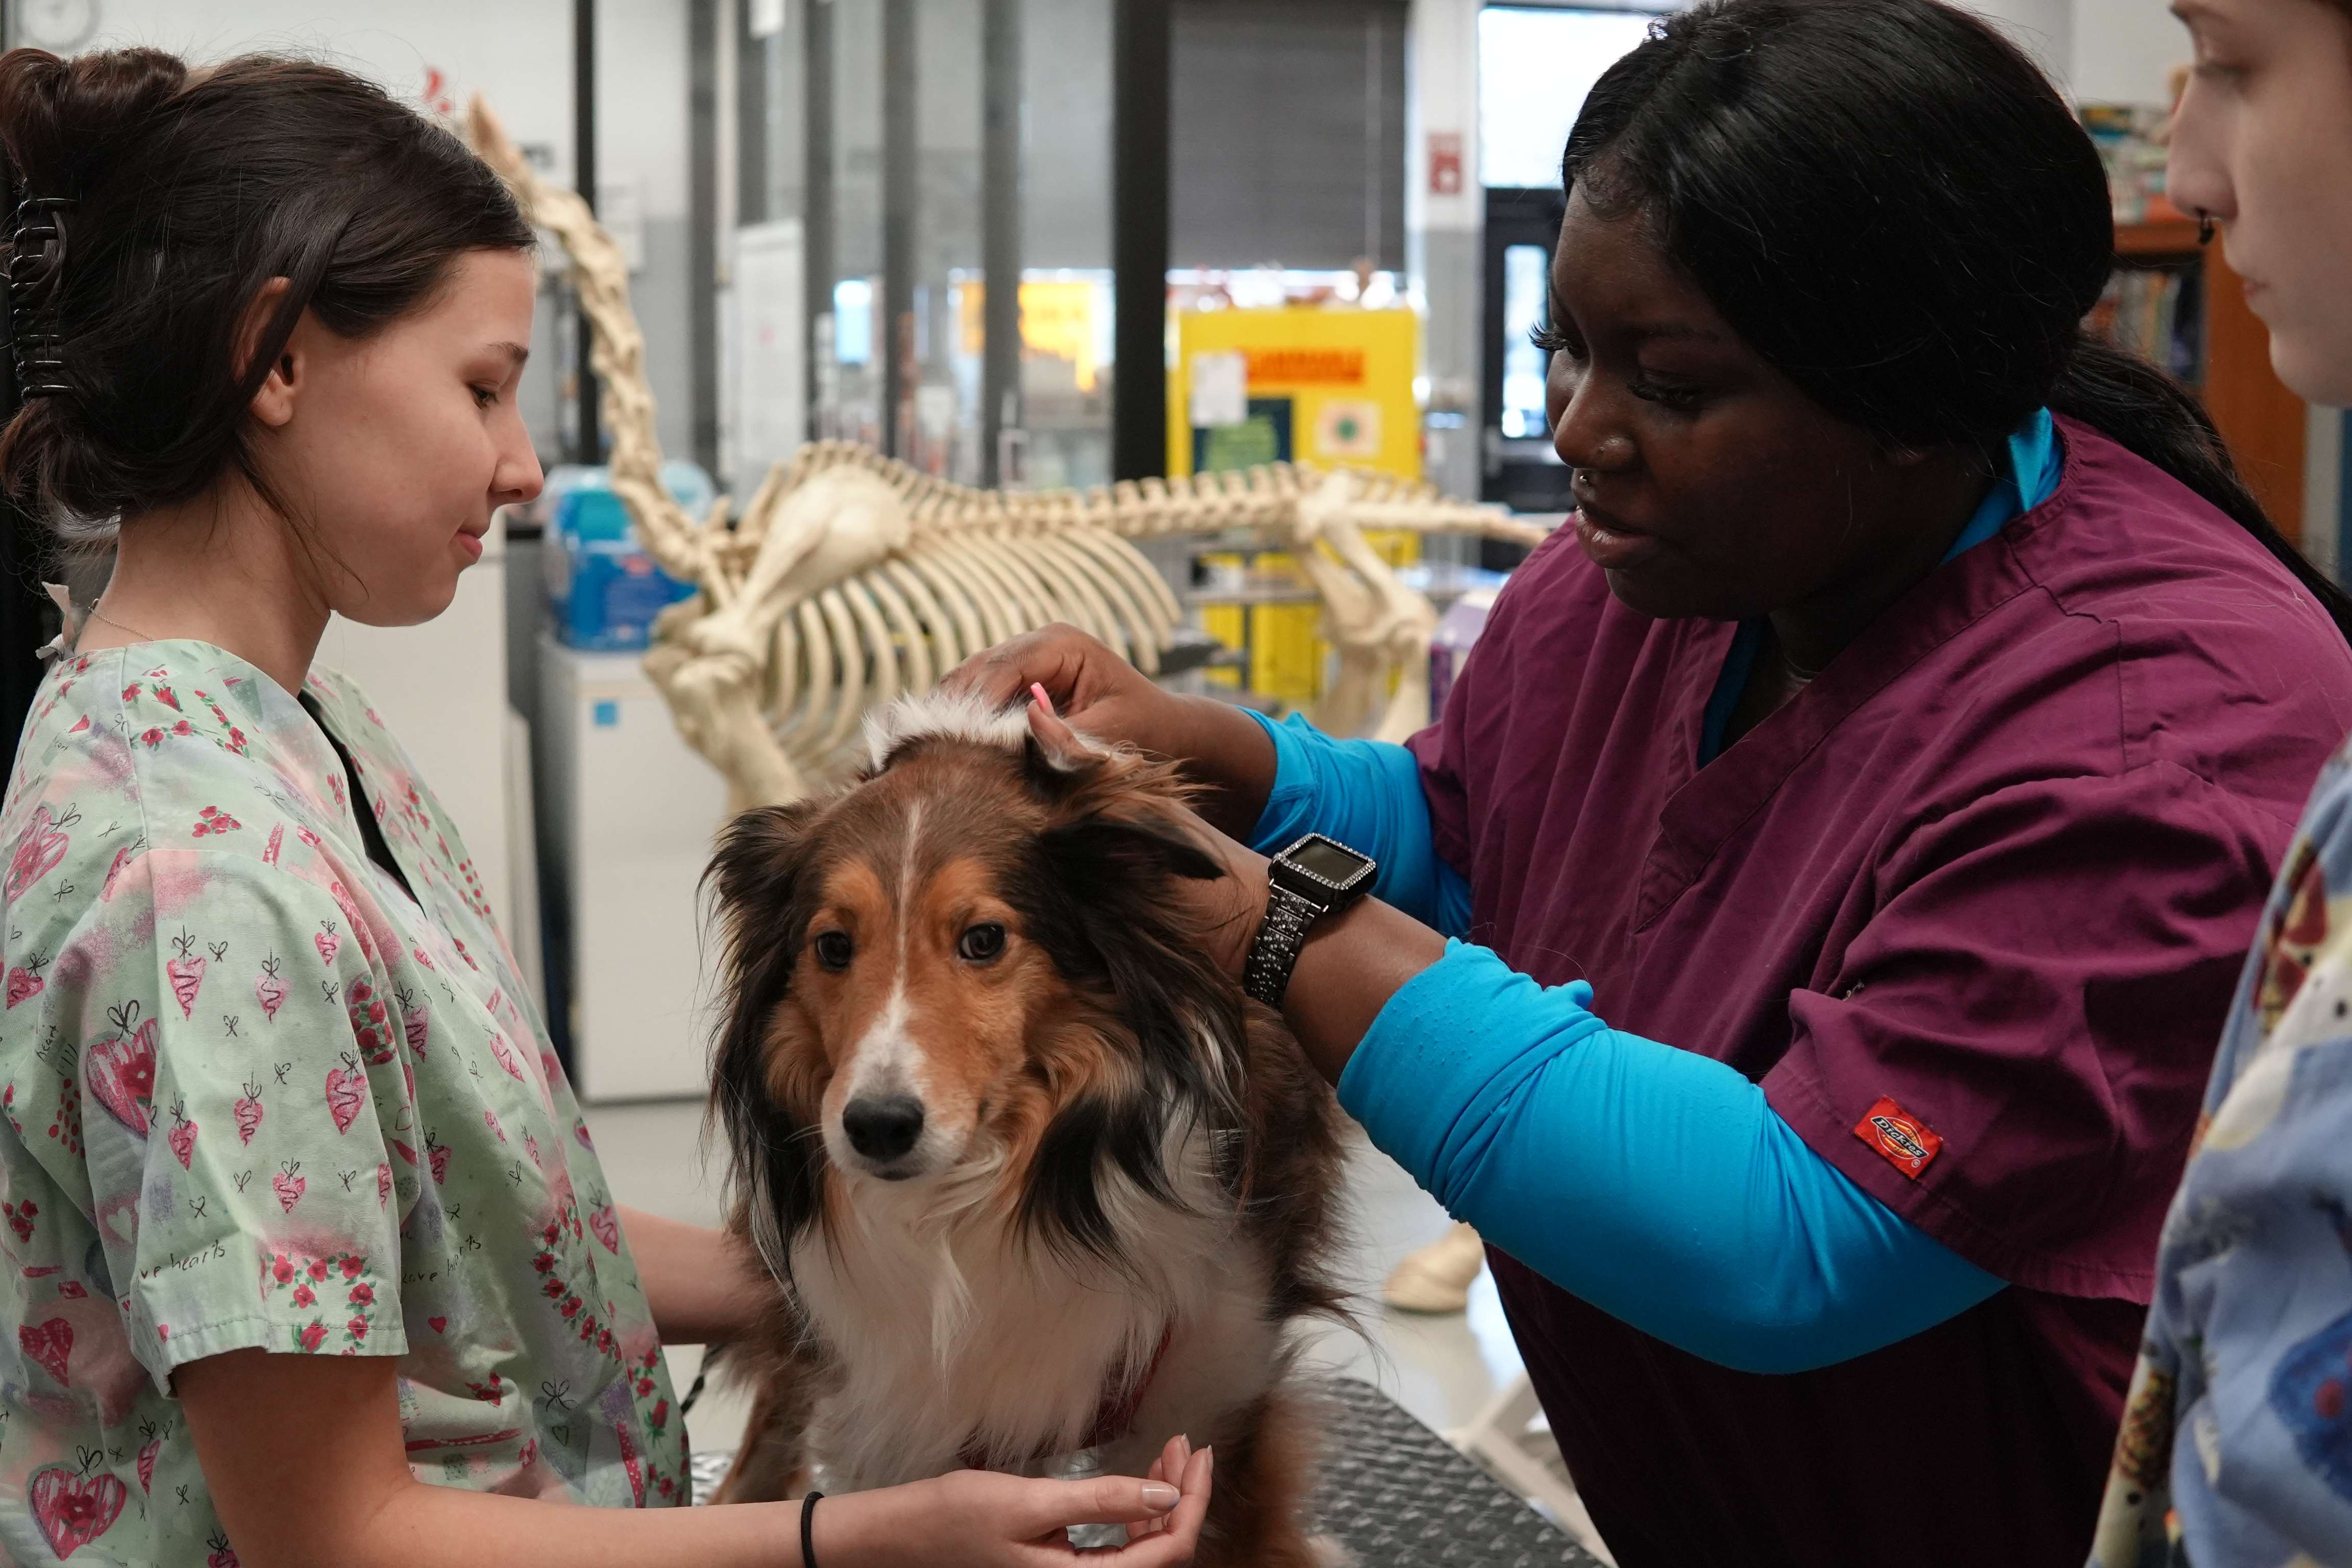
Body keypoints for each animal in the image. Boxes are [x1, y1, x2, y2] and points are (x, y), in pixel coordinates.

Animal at [701, 691, 1345, 1561]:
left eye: (983, 939)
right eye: (832, 946)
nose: (877, 1128)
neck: (1005, 1192)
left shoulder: (1217, 1391)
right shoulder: (906, 1402)